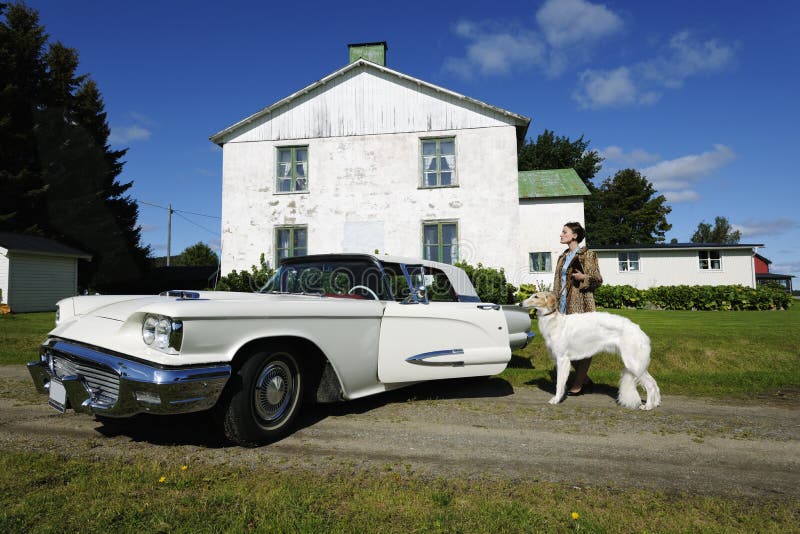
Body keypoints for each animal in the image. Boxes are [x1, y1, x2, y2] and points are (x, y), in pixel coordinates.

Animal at [520, 294, 660, 410]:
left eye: (535, 296)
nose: (520, 304)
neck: (554, 322)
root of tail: (640, 332)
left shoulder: (563, 359)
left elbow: (559, 384)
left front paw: (556, 399)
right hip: (637, 364)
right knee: (654, 383)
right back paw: (655, 403)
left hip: (633, 363)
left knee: (650, 385)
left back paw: (648, 406)